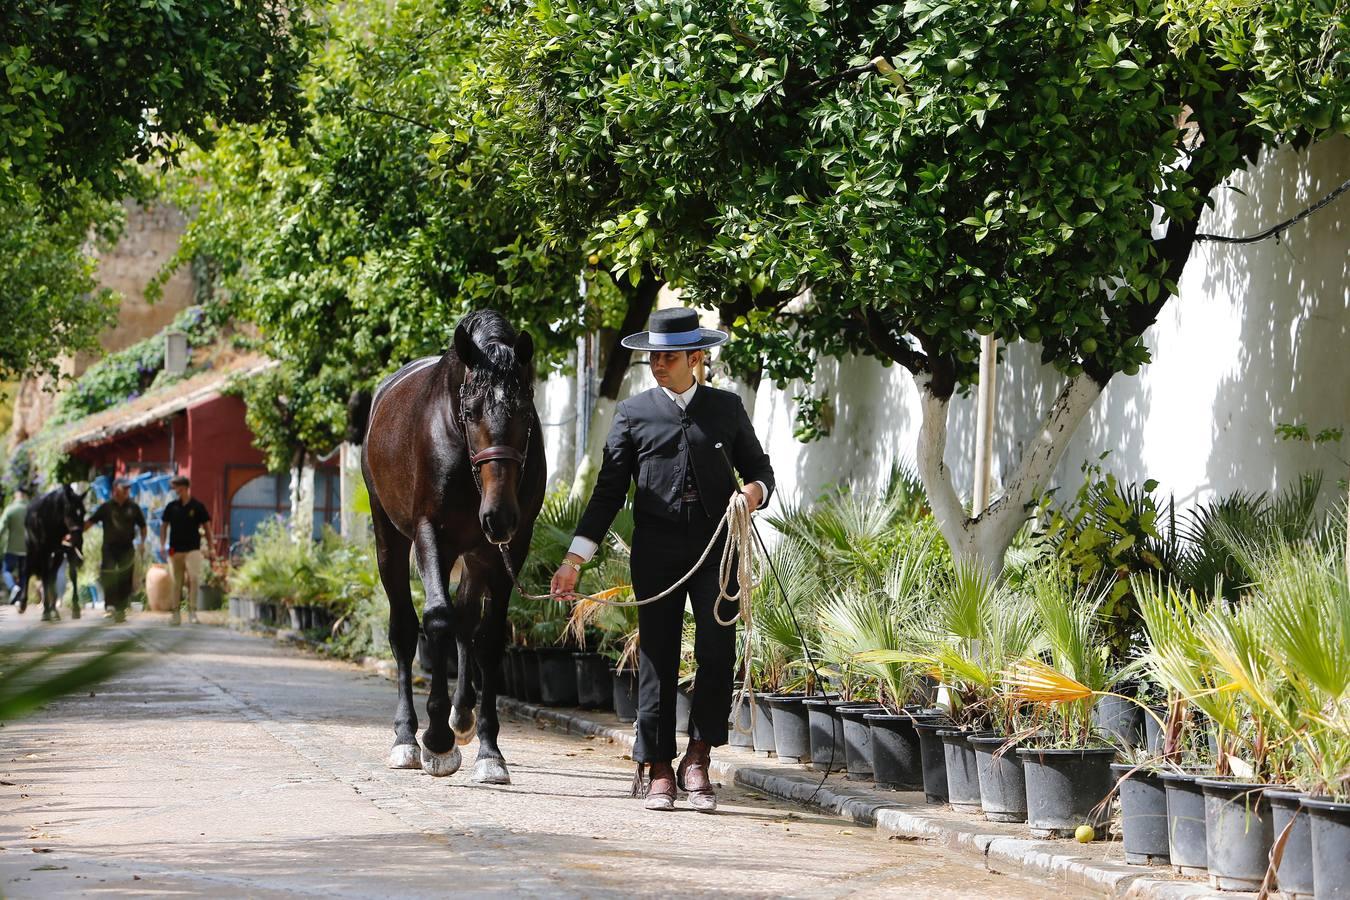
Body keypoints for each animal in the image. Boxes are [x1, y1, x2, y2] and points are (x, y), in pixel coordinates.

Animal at [22, 485, 87, 620]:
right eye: (70, 512)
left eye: (83, 512)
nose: (78, 540)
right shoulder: (44, 551)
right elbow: (44, 576)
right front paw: (46, 611)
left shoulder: (68, 549)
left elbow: (73, 575)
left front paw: (76, 609)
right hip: (32, 549)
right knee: (29, 570)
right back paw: (25, 604)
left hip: (57, 555)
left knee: (52, 575)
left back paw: (54, 610)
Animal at [361, 310, 550, 782]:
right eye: (470, 410)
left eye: (526, 411)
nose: (499, 515)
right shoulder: (432, 535)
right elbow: (437, 620)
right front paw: (436, 742)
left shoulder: (510, 547)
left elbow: (489, 639)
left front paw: (490, 751)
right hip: (391, 538)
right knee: (406, 629)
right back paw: (407, 739)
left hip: (478, 553)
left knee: (467, 622)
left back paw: (462, 718)